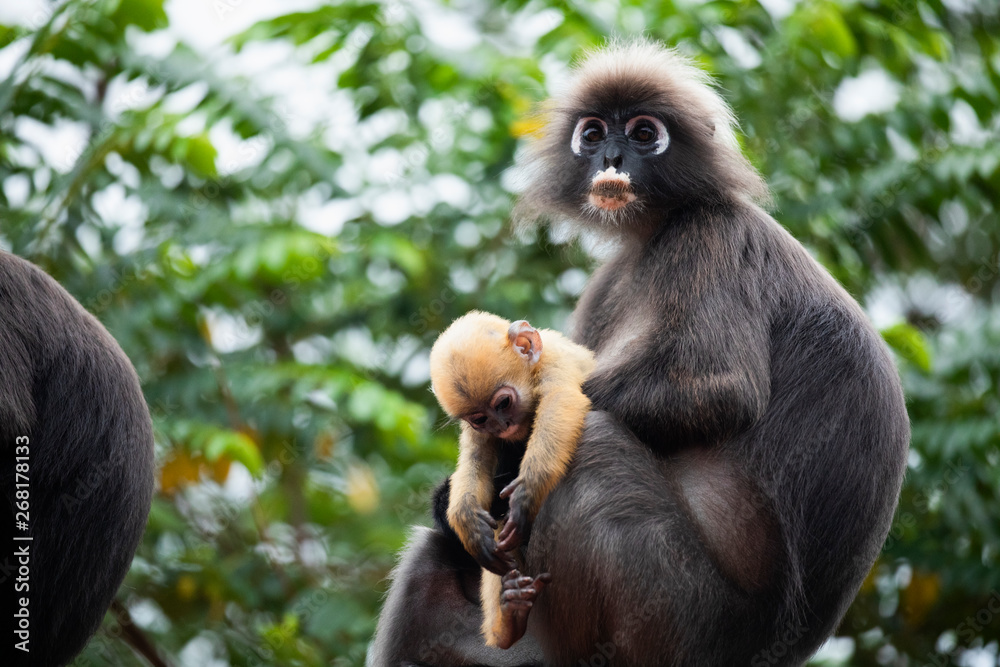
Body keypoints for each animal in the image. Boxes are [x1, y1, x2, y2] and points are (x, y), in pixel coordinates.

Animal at [428, 311, 595, 650]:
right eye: (481, 418)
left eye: (503, 404)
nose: (502, 426)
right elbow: (476, 458)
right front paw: (467, 523)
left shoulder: (554, 363)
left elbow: (560, 399)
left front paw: (528, 491)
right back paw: (509, 618)